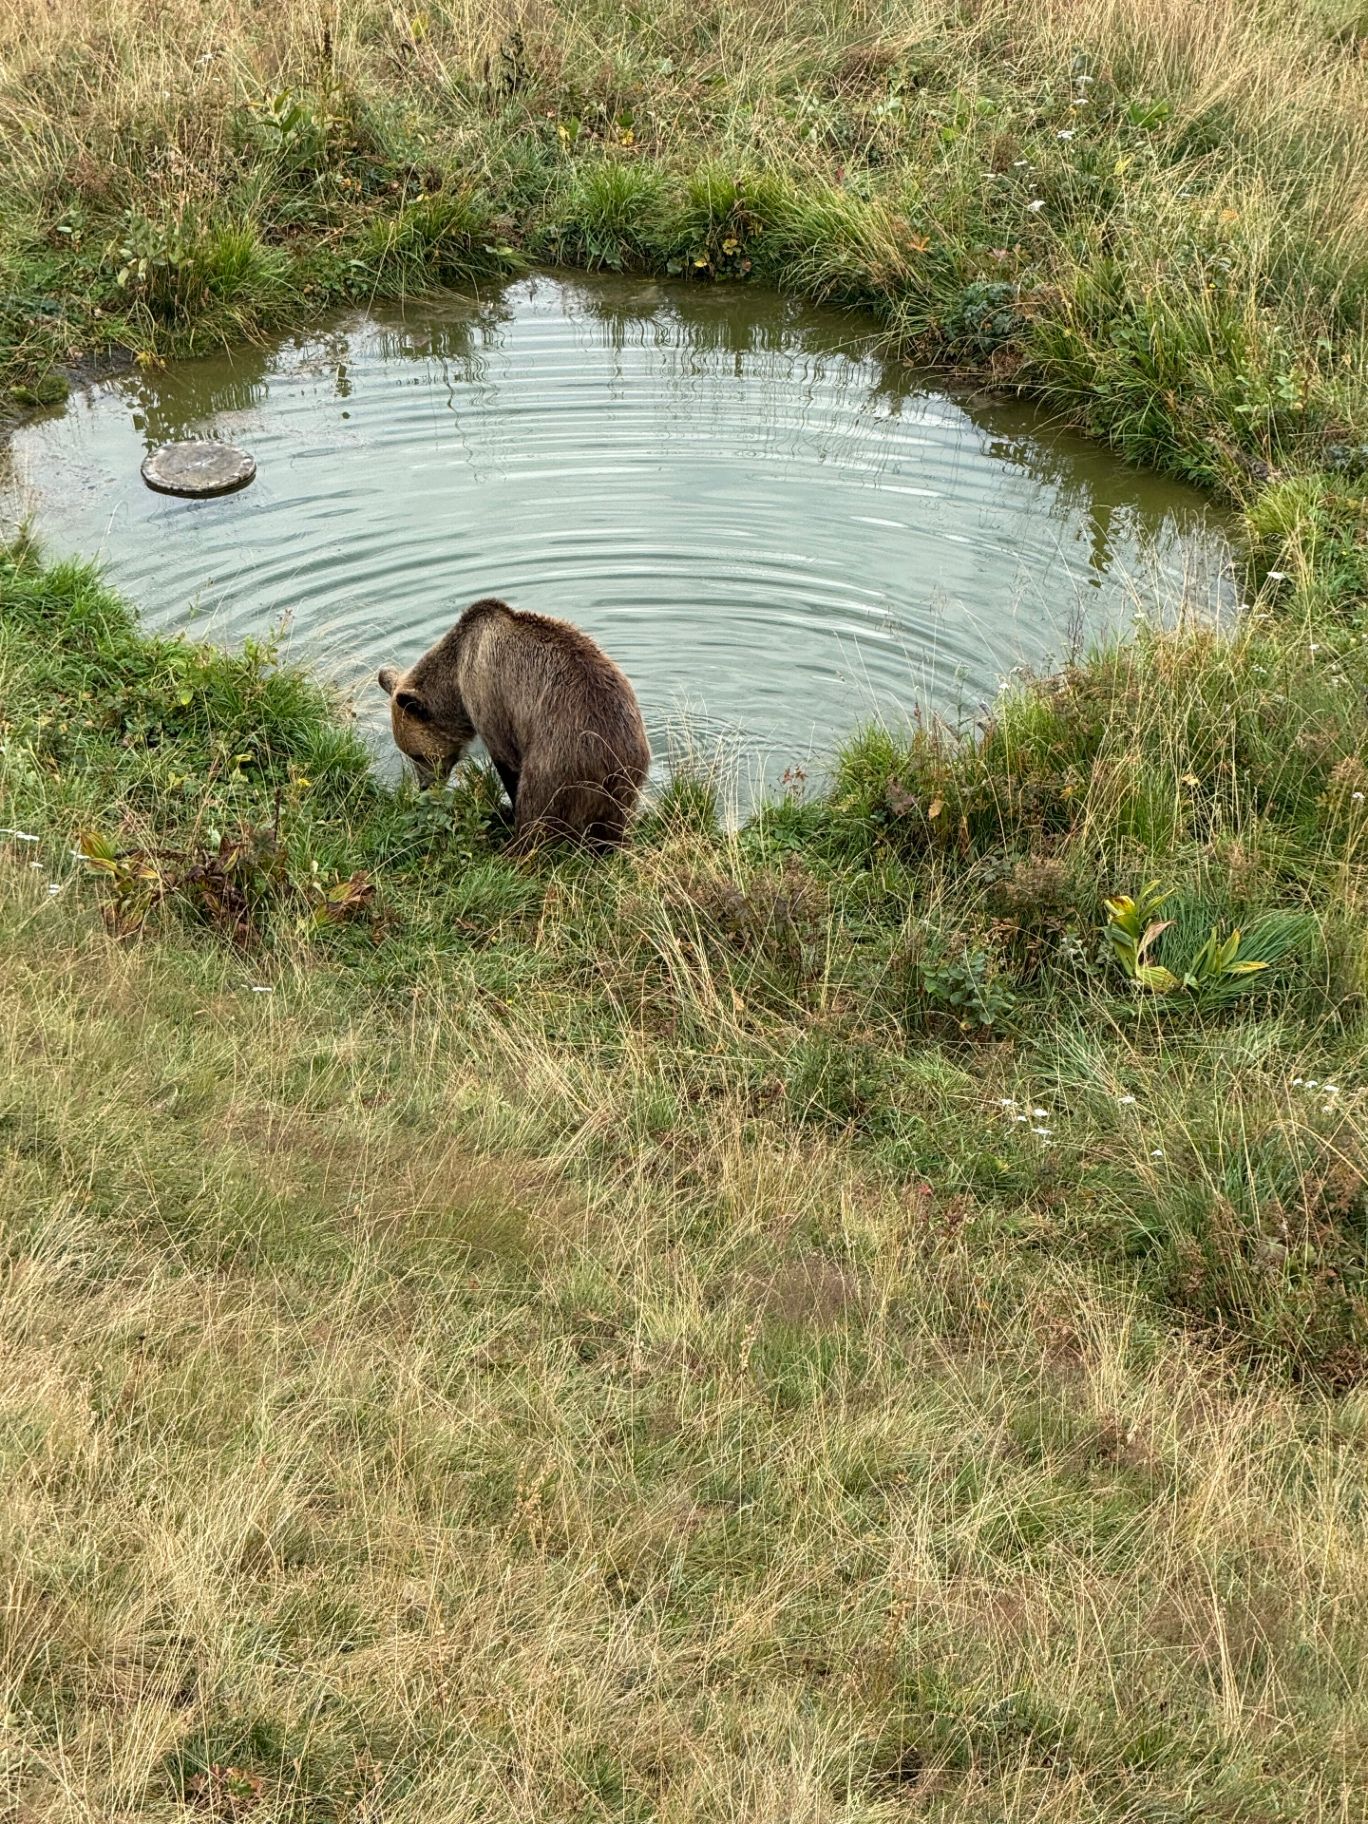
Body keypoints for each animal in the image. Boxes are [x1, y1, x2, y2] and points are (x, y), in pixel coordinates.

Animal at [378, 598, 651, 854]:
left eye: (417, 755)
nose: (424, 787)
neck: (456, 681)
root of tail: (611, 758)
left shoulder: (490, 699)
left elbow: (506, 761)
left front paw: (510, 811)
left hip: (559, 757)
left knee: (537, 806)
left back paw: (513, 845)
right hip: (624, 781)